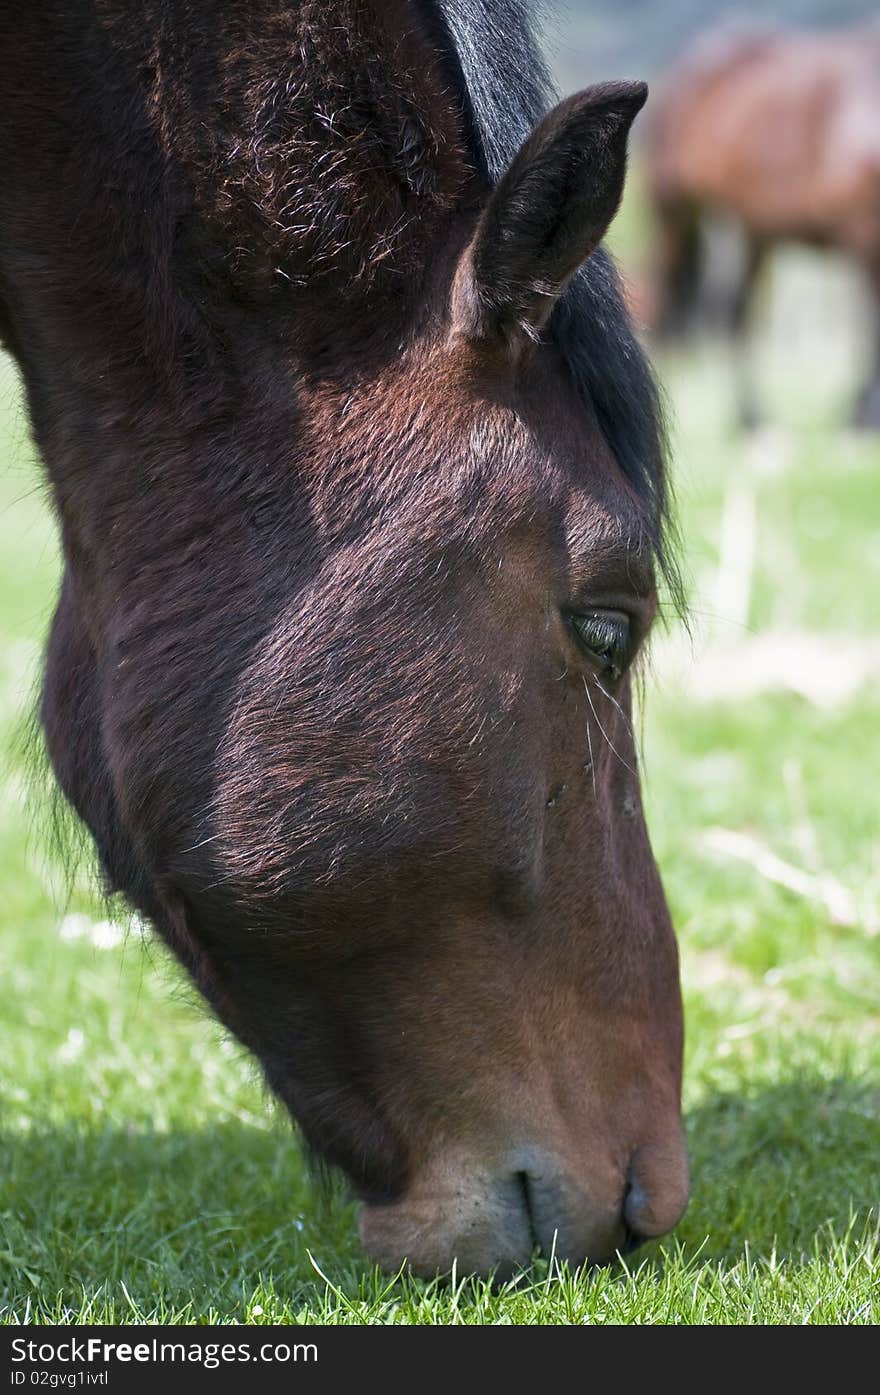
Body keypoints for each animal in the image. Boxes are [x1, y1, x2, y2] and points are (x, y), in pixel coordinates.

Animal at [647, 23, 880, 424]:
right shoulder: (861, 232)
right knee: (669, 296)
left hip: (754, 232)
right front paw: (864, 411)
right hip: (674, 212)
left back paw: (749, 413)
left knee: (735, 312)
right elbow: (869, 324)